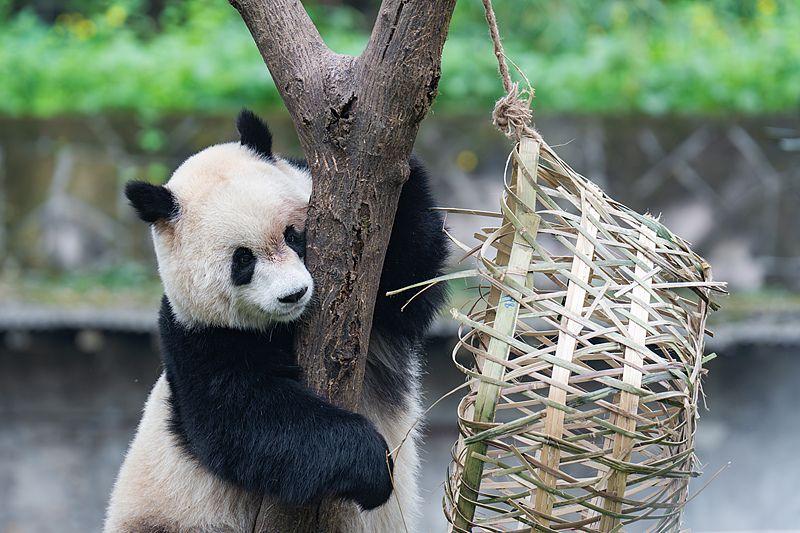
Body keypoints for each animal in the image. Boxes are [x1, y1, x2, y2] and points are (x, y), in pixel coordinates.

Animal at [104, 110, 448, 533]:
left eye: (292, 234)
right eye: (242, 260)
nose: (293, 295)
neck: (284, 327)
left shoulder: (380, 316)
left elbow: (408, 287)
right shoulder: (197, 336)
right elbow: (246, 420)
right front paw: (372, 466)